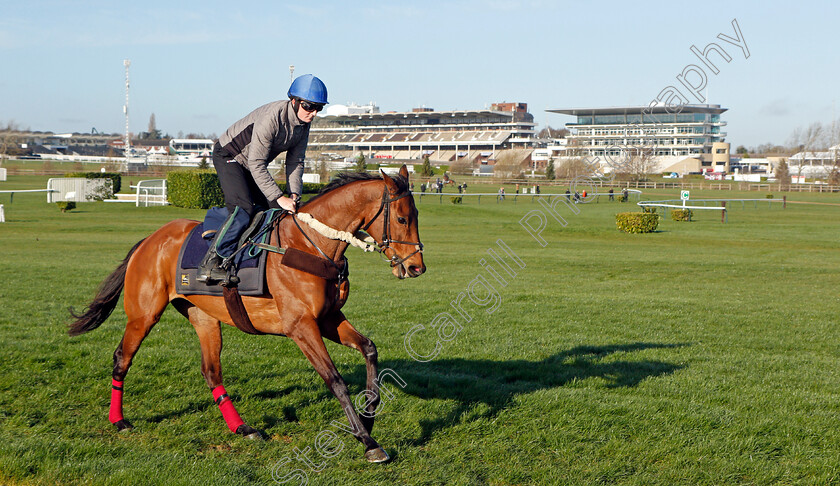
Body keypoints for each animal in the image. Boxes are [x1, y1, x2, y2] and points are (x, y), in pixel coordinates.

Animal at [69, 165, 426, 462]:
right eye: (402, 218)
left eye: (417, 215)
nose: (416, 268)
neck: (312, 245)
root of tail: (149, 240)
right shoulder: (301, 326)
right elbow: (335, 380)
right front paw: (367, 441)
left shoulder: (327, 319)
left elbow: (369, 348)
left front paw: (369, 413)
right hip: (144, 315)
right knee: (122, 358)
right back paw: (119, 421)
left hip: (204, 317)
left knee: (211, 372)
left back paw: (243, 428)